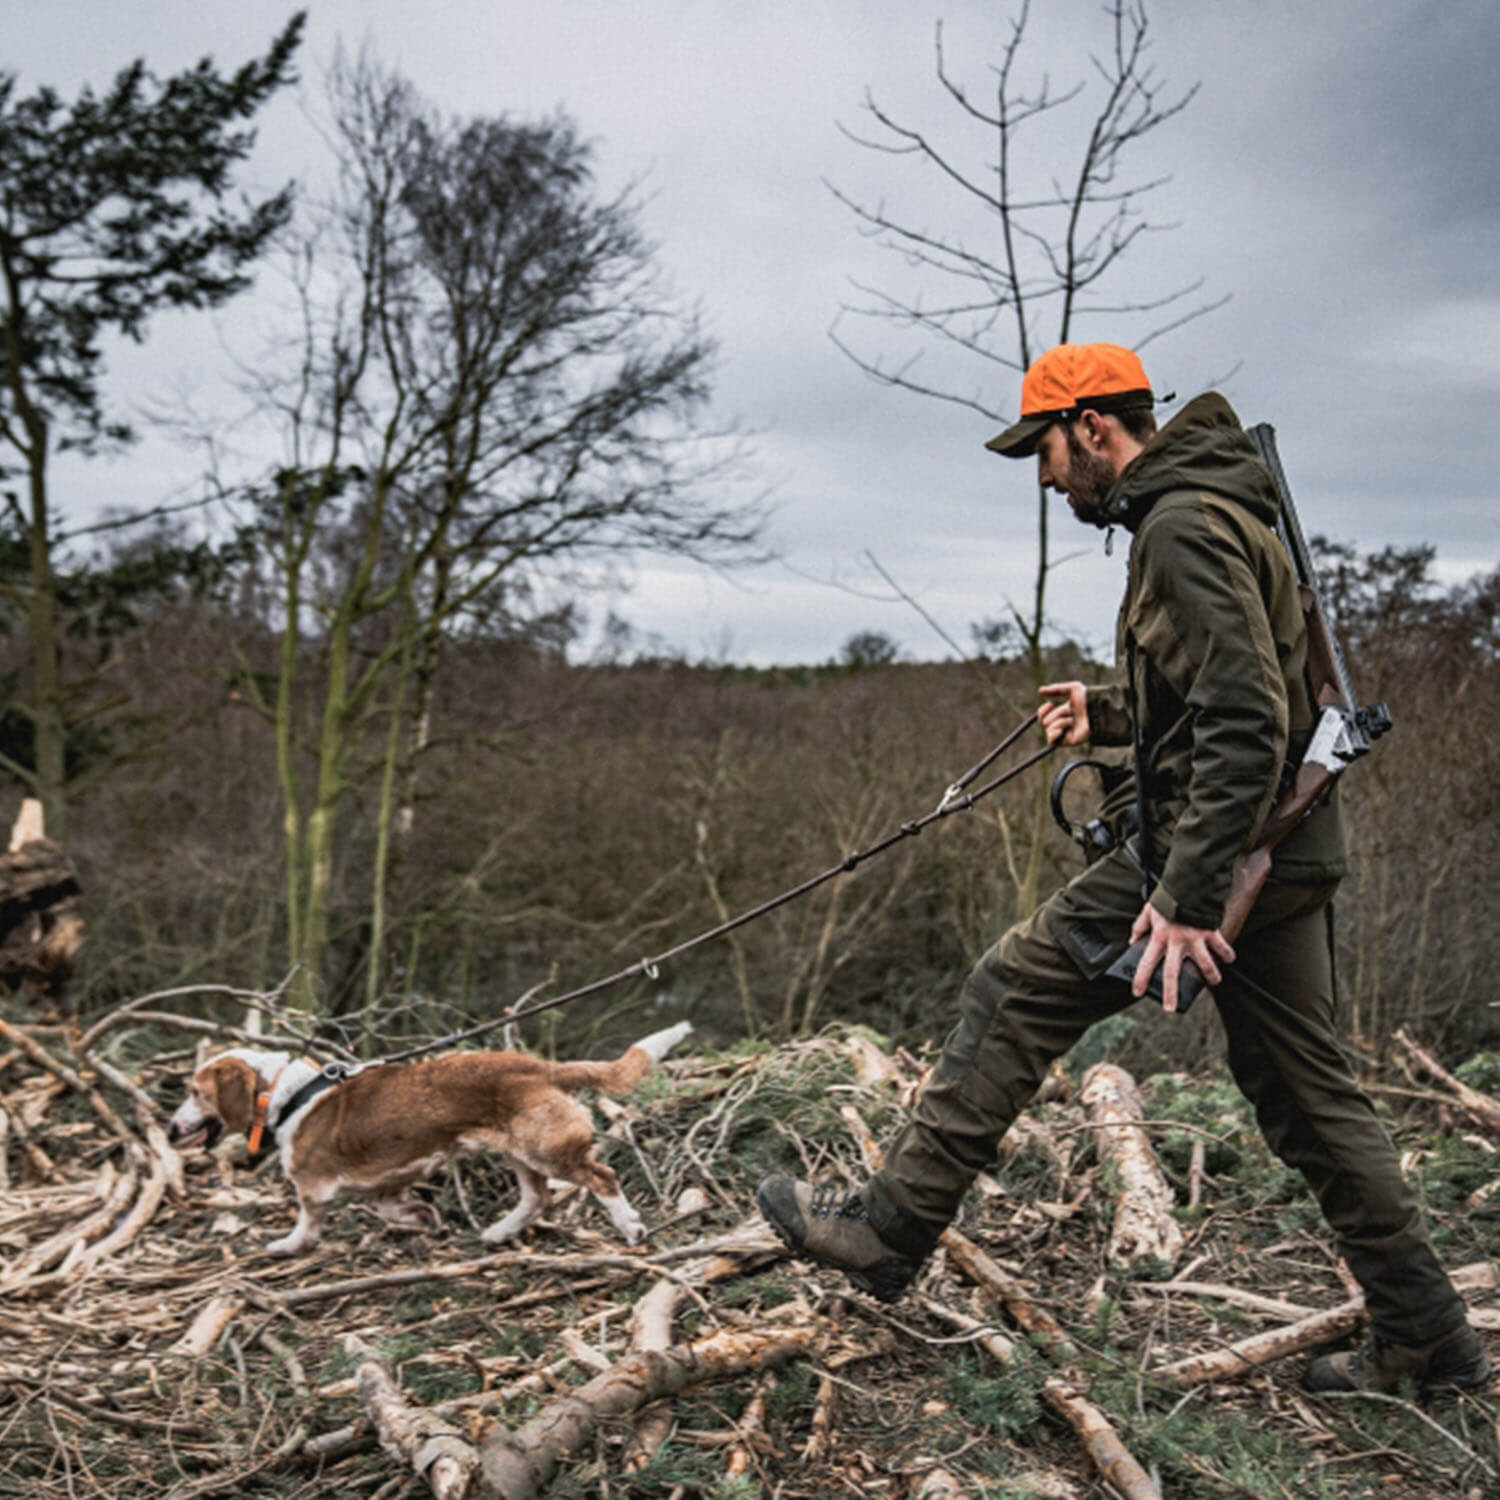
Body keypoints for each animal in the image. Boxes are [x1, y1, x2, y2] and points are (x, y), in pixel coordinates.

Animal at [167, 1020, 693, 1254]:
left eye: (194, 1092)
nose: (171, 1128)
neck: (288, 1093)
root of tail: (543, 1067)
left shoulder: (312, 1189)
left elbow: (307, 1223)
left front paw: (288, 1245)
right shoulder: (386, 1183)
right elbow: (392, 1207)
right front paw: (423, 1217)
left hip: (546, 1150)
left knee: (602, 1177)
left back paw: (630, 1226)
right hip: (519, 1153)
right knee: (536, 1198)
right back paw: (500, 1231)